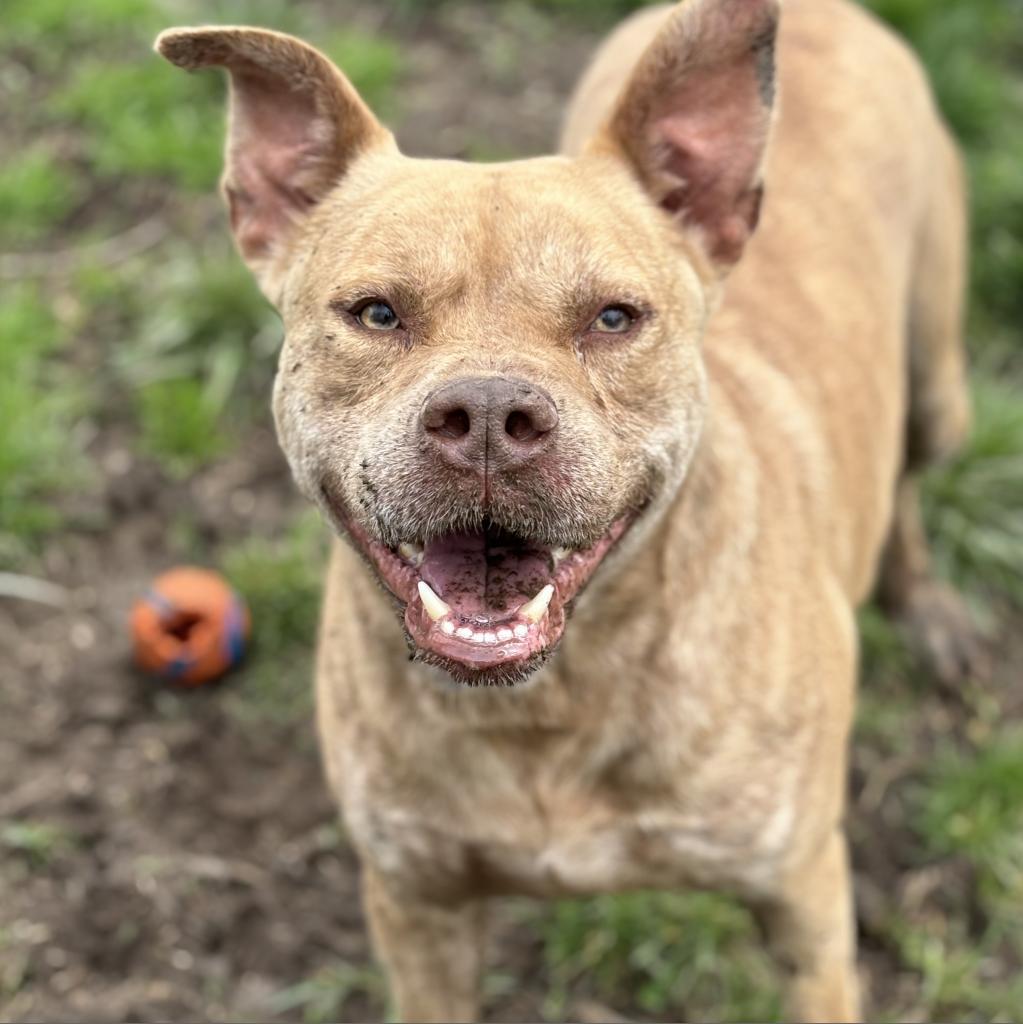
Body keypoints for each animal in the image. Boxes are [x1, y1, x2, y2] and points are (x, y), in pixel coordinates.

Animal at [155, 4, 978, 1019]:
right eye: (376, 313)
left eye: (614, 318)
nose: (486, 420)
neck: (550, 709)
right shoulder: (417, 910)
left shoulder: (805, 907)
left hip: (939, 386)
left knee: (910, 471)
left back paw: (928, 606)